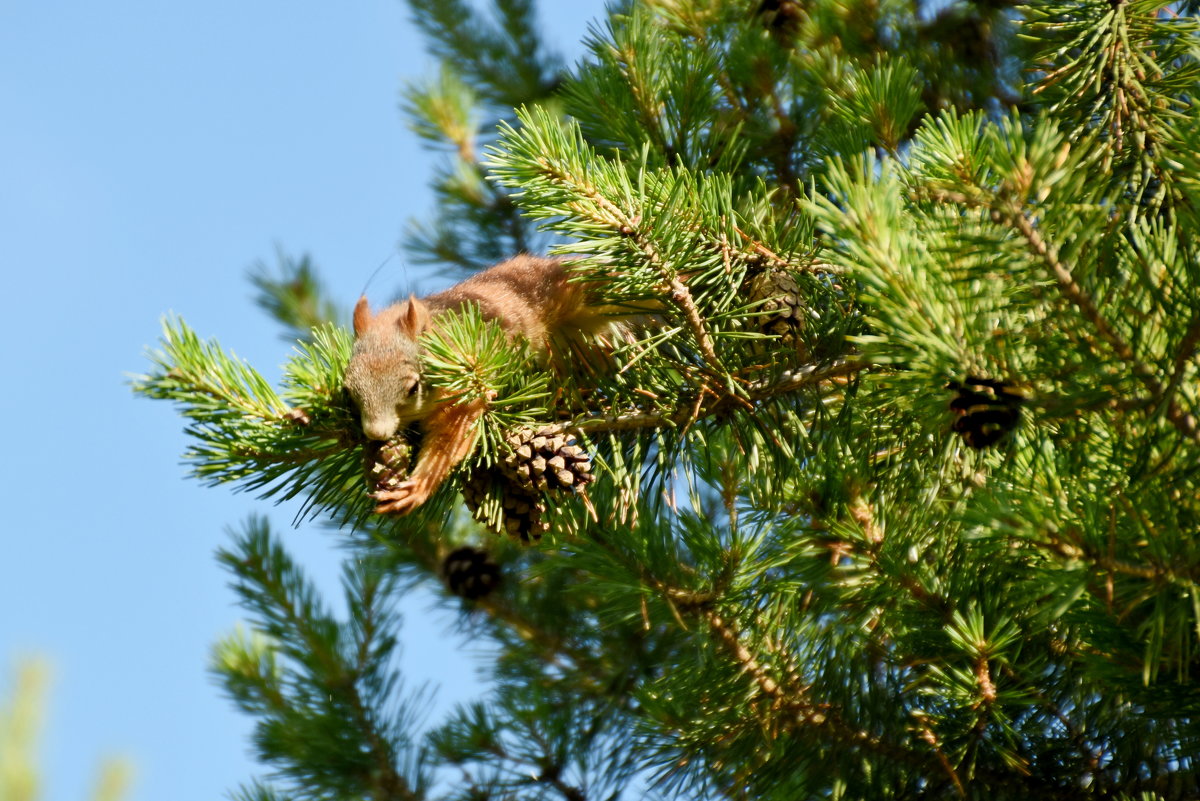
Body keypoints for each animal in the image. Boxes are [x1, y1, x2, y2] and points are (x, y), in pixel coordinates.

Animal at [343, 257, 614, 520]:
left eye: (413, 388)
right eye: (348, 390)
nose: (376, 433)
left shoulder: (464, 388)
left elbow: (451, 437)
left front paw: (419, 486)